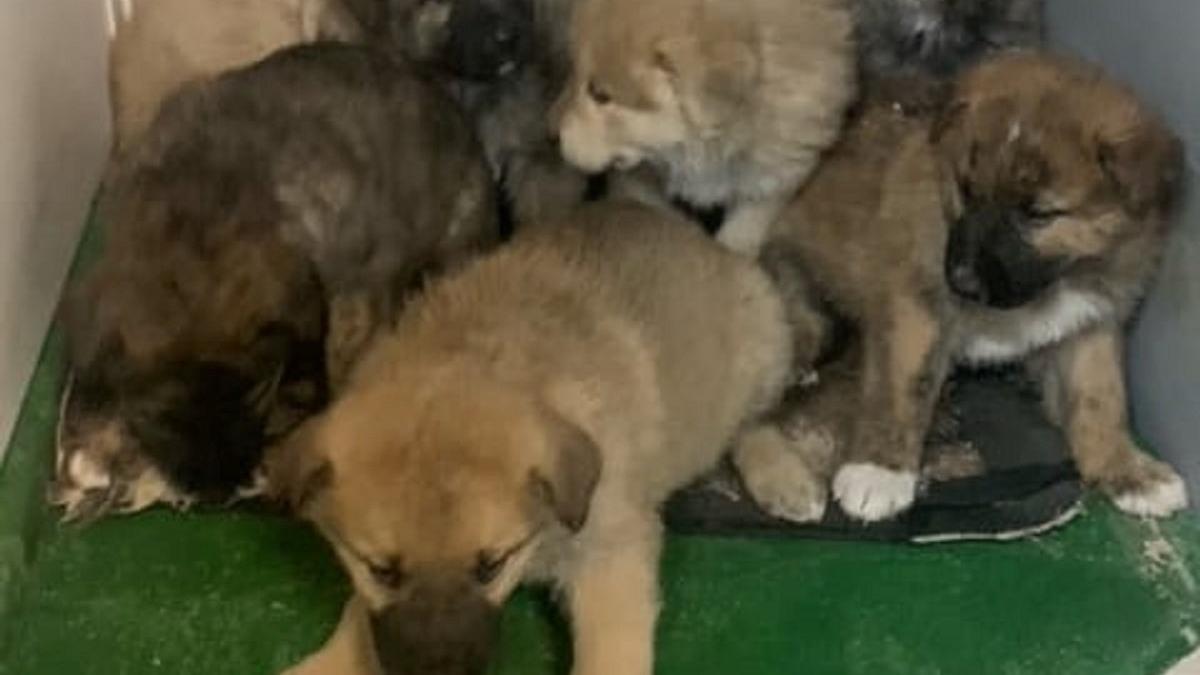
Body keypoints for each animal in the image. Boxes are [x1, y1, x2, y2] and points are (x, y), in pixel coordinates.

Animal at [270, 199, 796, 672]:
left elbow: (613, 653)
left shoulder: (611, 554)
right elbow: (358, 617)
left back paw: (782, 477)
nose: (438, 670)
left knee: (756, 421)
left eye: (490, 565)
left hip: (763, 345)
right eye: (381, 570)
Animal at [552, 0, 854, 253]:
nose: (551, 135)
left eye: (600, 95)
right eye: (572, 71)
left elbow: (743, 230)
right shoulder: (637, 179)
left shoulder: (777, 174)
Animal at [744, 52, 1185, 523]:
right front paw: (880, 469)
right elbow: (905, 387)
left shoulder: (1092, 320)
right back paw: (784, 479)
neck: (1051, 284)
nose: (961, 281)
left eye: (1038, 214)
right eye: (966, 189)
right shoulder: (916, 304)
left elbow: (1101, 398)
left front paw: (1126, 469)